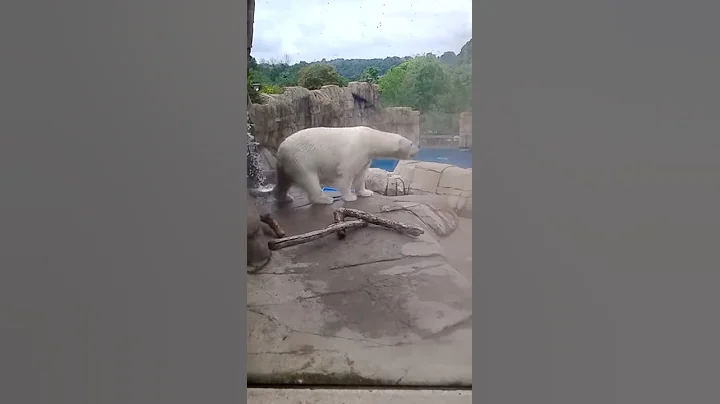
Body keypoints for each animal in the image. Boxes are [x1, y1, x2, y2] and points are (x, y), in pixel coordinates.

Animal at [272, 126, 420, 205]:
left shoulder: (365, 157)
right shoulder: (356, 151)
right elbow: (347, 173)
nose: (418, 149)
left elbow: (361, 174)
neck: (370, 139)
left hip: (288, 163)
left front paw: (366, 192)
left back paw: (285, 197)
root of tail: (280, 150)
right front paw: (350, 197)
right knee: (309, 179)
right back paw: (324, 199)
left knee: (284, 181)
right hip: (301, 159)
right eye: (411, 143)